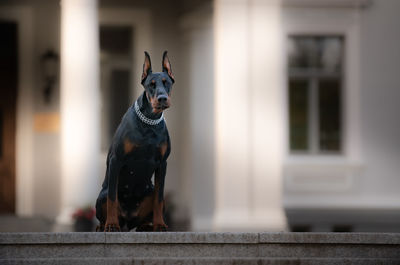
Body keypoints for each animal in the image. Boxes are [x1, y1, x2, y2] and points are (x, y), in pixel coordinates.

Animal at [96, 50, 174, 230]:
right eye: (151, 84)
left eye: (166, 83)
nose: (162, 98)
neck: (149, 122)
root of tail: (128, 219)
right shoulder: (116, 160)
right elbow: (112, 198)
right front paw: (112, 225)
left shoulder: (163, 164)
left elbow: (159, 198)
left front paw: (160, 225)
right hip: (102, 195)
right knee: (106, 202)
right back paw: (104, 225)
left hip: (149, 192)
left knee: (148, 211)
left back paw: (148, 226)